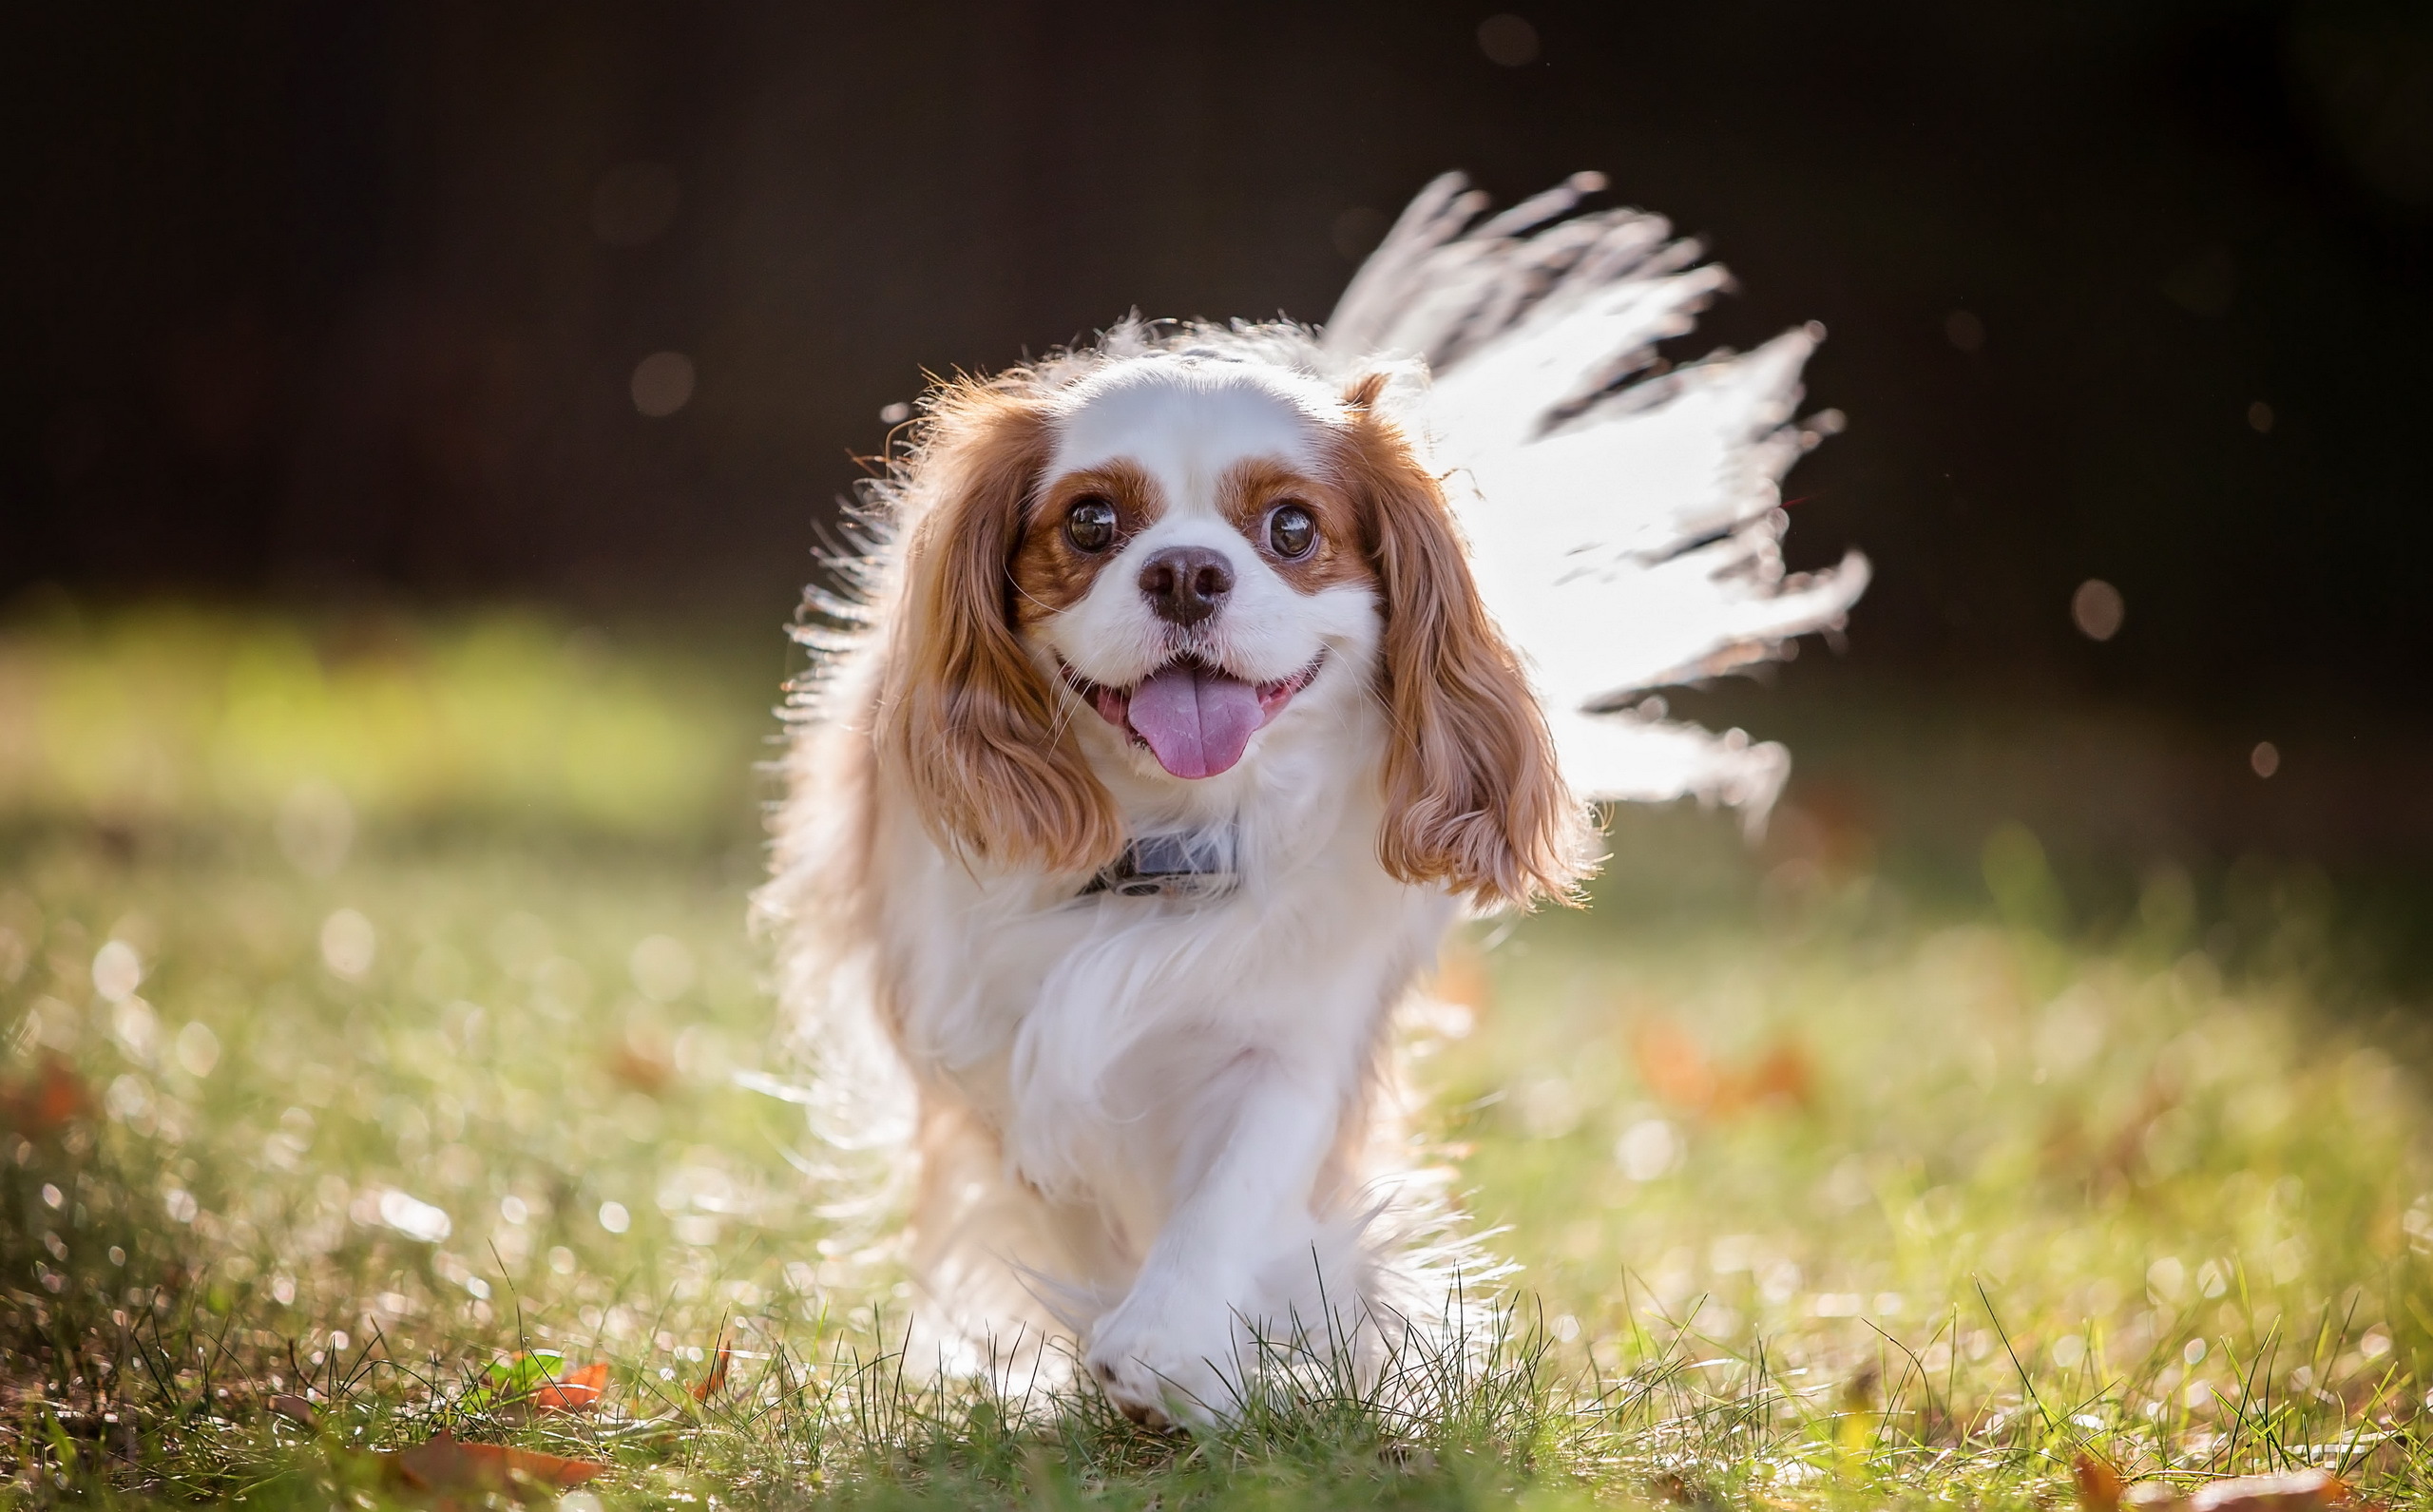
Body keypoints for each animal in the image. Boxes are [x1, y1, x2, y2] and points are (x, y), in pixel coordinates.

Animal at [758, 170, 1858, 1422]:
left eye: (1291, 528)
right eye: (1091, 522)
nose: (1187, 571)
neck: (1172, 838)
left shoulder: (1298, 1035)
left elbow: (1238, 1183)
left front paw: (1176, 1343)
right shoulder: (989, 1051)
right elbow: (1073, 1194)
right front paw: (1133, 1332)